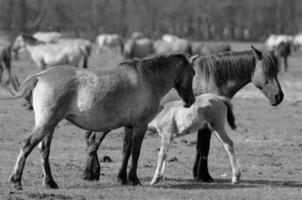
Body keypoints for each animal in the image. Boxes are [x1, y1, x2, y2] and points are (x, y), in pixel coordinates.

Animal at [7, 53, 196, 191]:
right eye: (193, 73)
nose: (191, 101)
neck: (147, 79)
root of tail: (41, 76)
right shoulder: (139, 126)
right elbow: (135, 152)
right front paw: (134, 179)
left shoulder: (129, 126)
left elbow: (126, 152)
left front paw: (122, 178)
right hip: (47, 122)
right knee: (27, 145)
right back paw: (17, 180)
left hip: (50, 125)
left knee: (43, 150)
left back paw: (50, 182)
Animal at [81, 45, 284, 183]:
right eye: (268, 71)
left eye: (277, 70)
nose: (279, 96)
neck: (212, 77)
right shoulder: (207, 126)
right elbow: (203, 148)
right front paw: (204, 176)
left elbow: (200, 148)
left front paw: (197, 174)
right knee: (94, 140)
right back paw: (90, 173)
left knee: (92, 140)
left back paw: (93, 173)